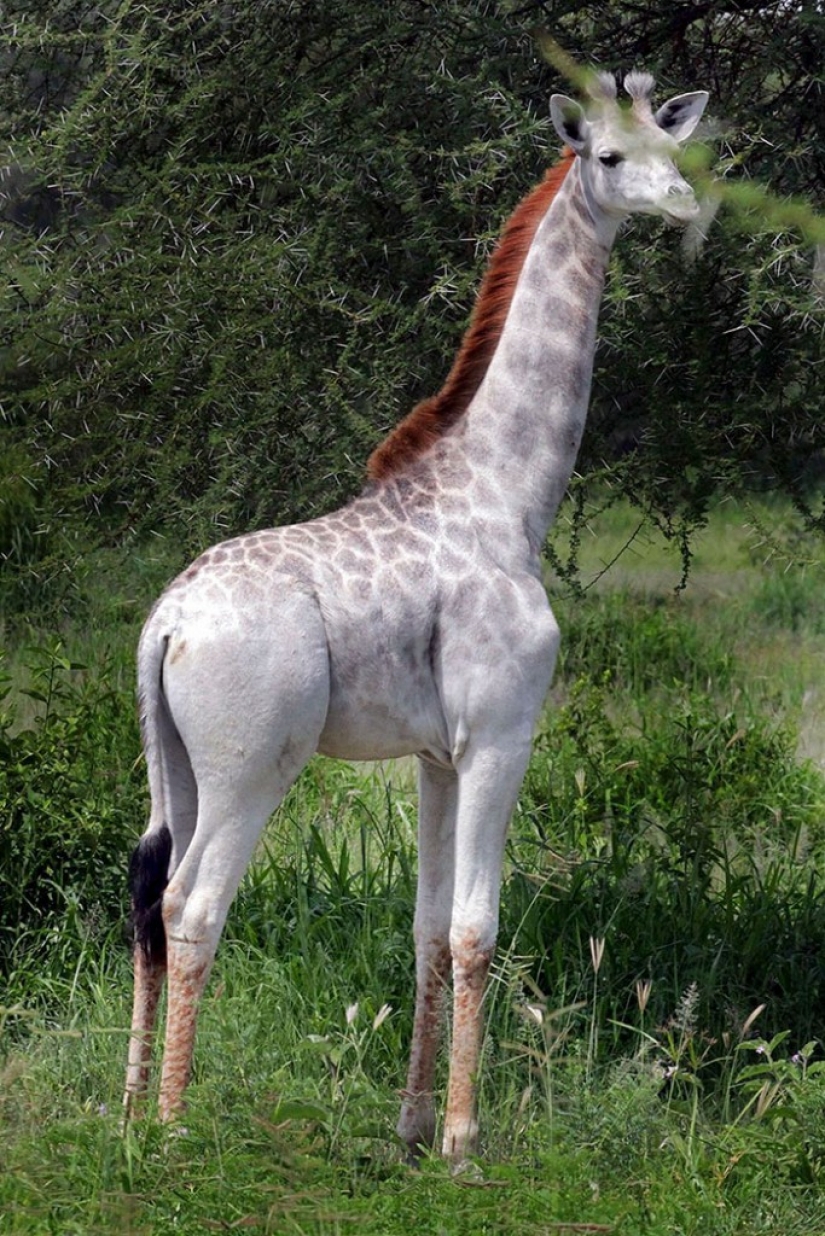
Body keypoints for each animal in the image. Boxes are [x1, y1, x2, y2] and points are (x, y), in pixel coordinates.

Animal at [123, 71, 708, 1164]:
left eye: (671, 141)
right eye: (608, 156)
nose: (684, 202)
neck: (511, 495)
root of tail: (166, 623)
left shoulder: (437, 754)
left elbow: (428, 928)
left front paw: (409, 1126)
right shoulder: (499, 734)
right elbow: (478, 927)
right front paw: (465, 1141)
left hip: (171, 759)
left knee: (148, 891)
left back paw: (131, 1106)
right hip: (250, 763)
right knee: (195, 903)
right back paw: (174, 1131)